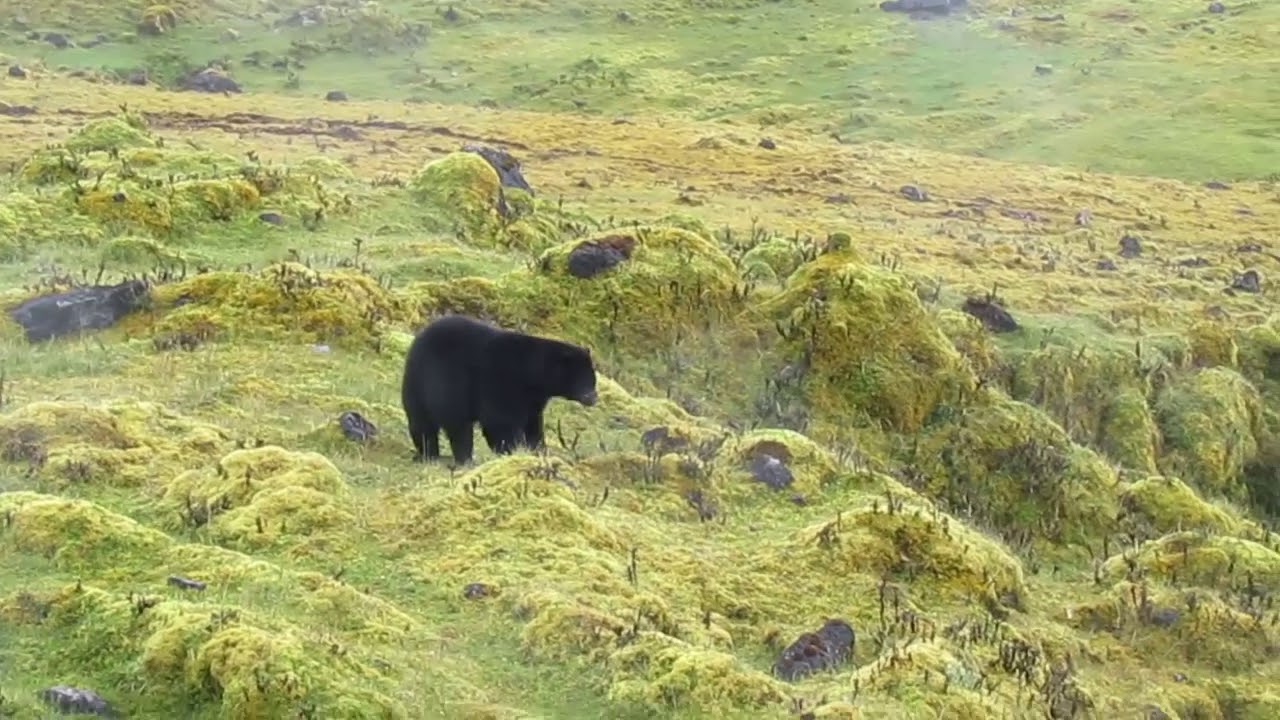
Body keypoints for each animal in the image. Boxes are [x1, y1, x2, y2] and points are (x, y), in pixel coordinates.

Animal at [400, 313, 599, 465]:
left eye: (593, 380)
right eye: (584, 380)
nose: (593, 398)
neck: (530, 373)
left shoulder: (533, 399)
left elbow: (533, 424)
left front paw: (539, 450)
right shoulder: (499, 382)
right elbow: (499, 421)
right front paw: (512, 450)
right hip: (430, 385)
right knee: (441, 426)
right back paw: (448, 458)